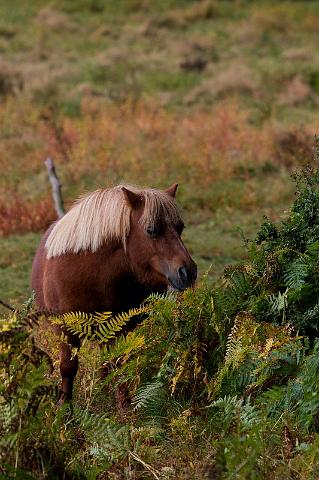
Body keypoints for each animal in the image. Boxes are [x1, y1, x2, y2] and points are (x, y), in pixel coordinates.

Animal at [31, 182, 198, 404]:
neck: (93, 273)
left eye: (180, 228)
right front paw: (64, 407)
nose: (188, 272)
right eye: (151, 230)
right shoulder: (64, 327)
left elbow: (120, 363)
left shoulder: (121, 326)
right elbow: (68, 367)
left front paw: (124, 405)